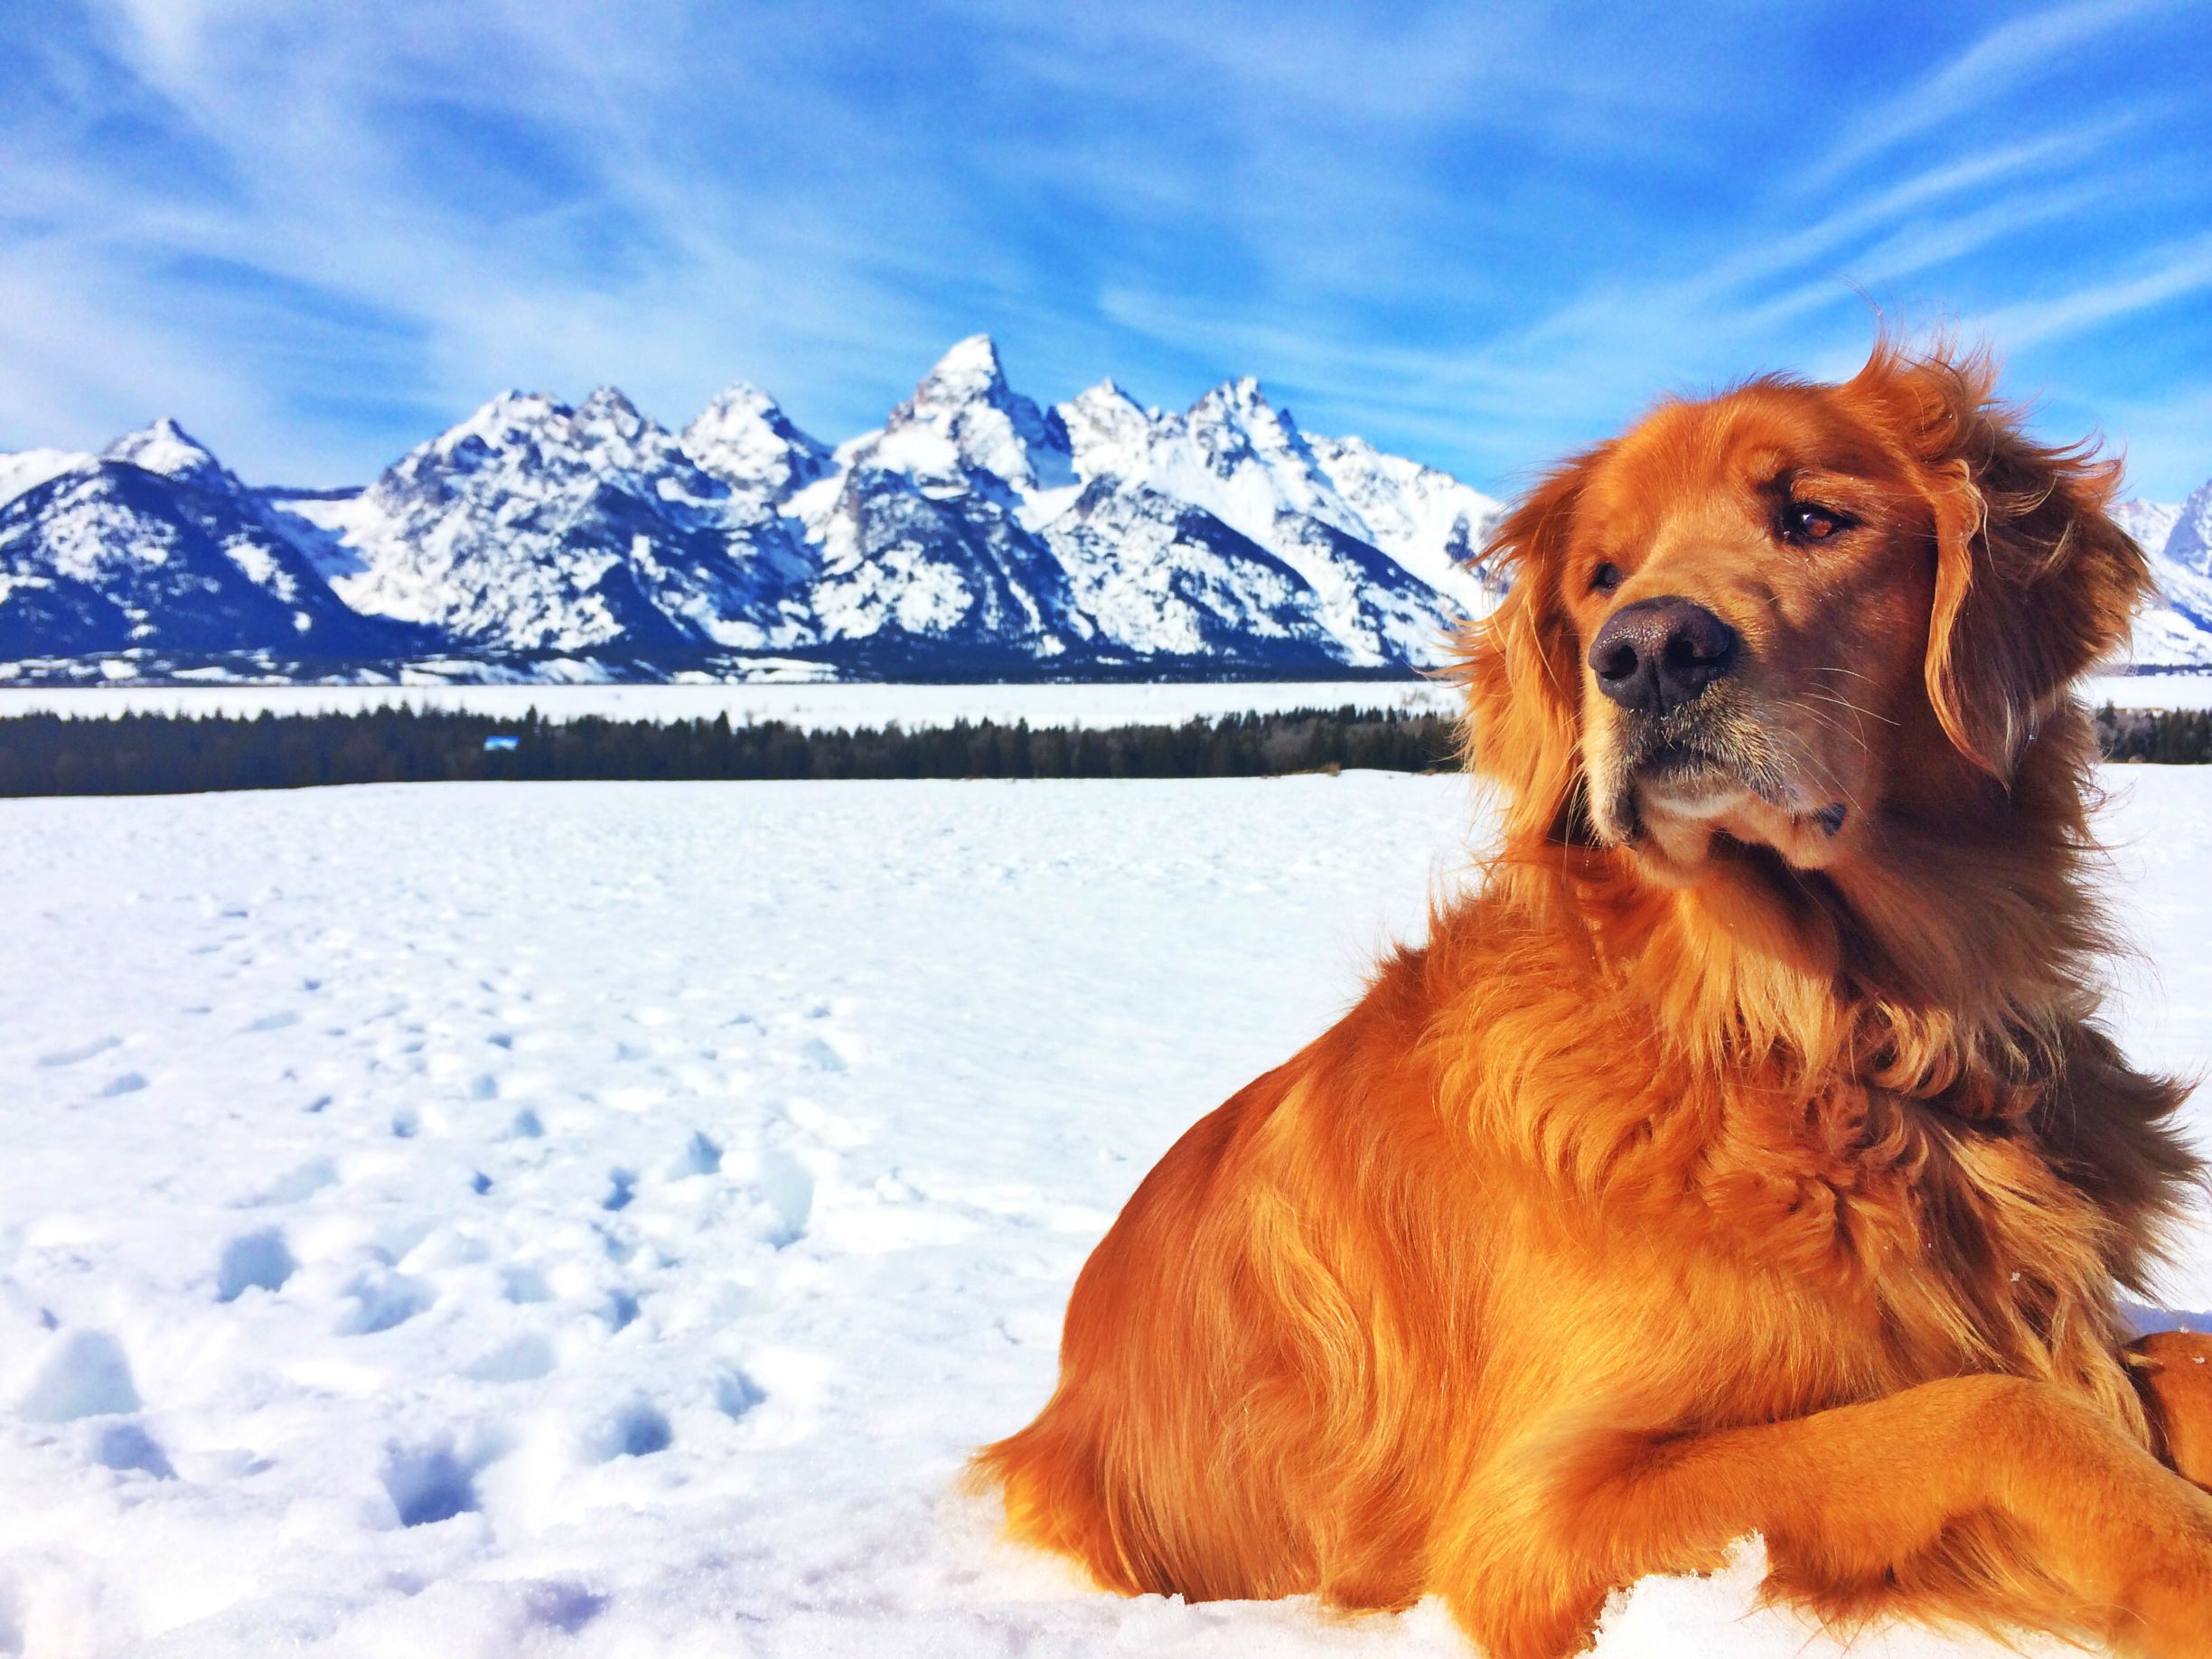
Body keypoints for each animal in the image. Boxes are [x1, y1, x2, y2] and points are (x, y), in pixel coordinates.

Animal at [978, 340, 2212, 1659]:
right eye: (1601, 578)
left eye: (1814, 518)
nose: (1647, 651)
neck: (1805, 1037)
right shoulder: (1535, 1522)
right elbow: (1996, 1413)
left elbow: (2159, 1362)